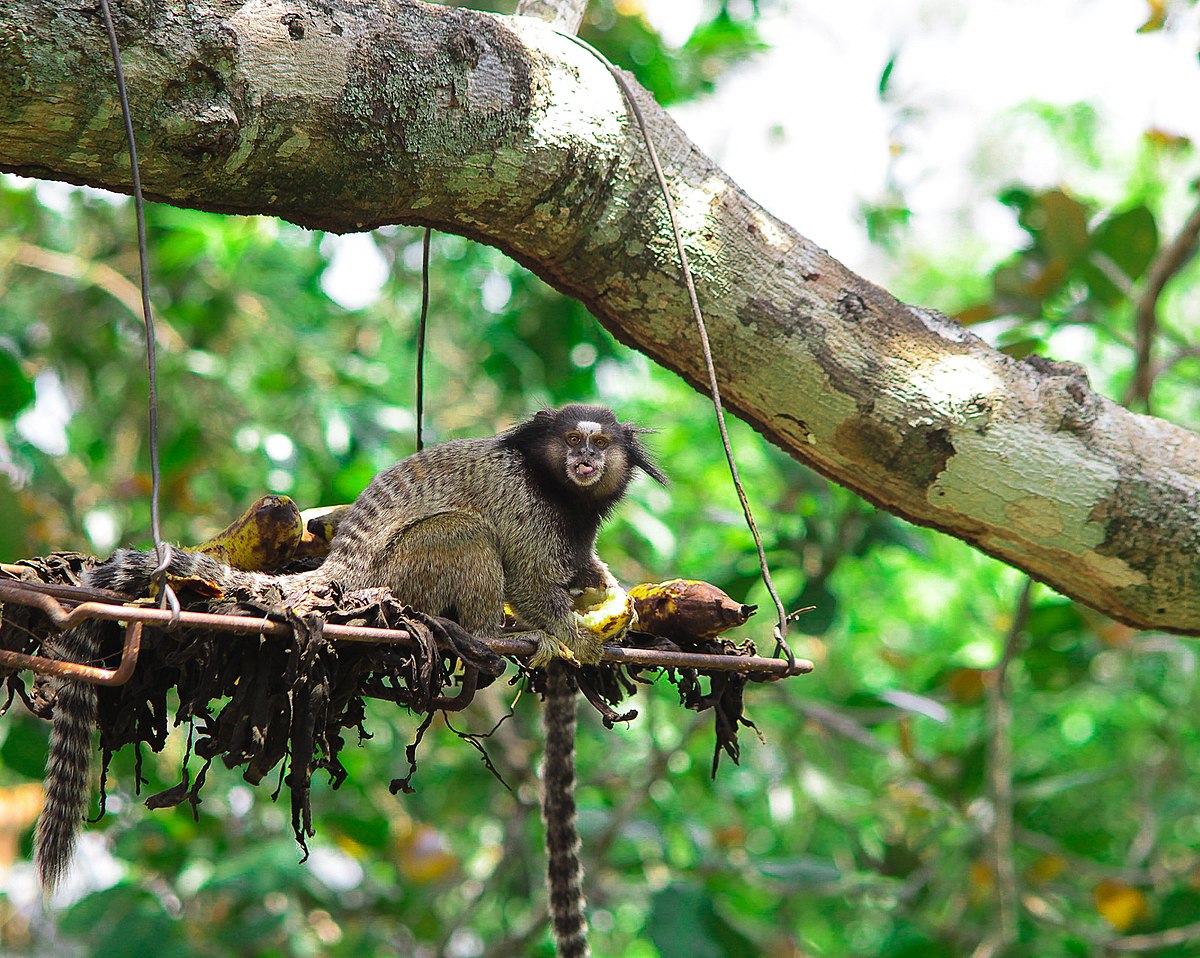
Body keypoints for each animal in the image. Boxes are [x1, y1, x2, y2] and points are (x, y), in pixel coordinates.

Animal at [32, 405, 662, 958]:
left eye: (599, 444)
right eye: (574, 441)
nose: (584, 460)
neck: (560, 491)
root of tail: (343, 576)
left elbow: (580, 566)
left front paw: (610, 595)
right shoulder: (523, 504)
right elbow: (530, 578)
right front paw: (573, 636)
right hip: (405, 575)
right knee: (463, 530)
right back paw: (487, 634)